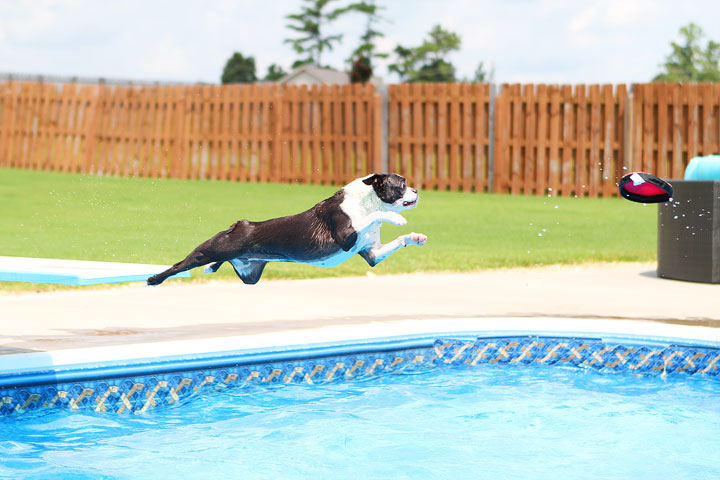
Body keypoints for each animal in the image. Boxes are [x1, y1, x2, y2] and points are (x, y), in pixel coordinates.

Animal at [147, 173, 428, 284]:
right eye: (401, 184)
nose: (416, 190)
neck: (367, 200)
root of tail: (239, 225)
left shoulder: (372, 253)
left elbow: (398, 241)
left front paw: (415, 236)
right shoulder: (346, 236)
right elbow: (376, 215)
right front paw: (395, 218)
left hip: (249, 274)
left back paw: (212, 267)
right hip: (211, 249)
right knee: (180, 264)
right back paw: (154, 279)